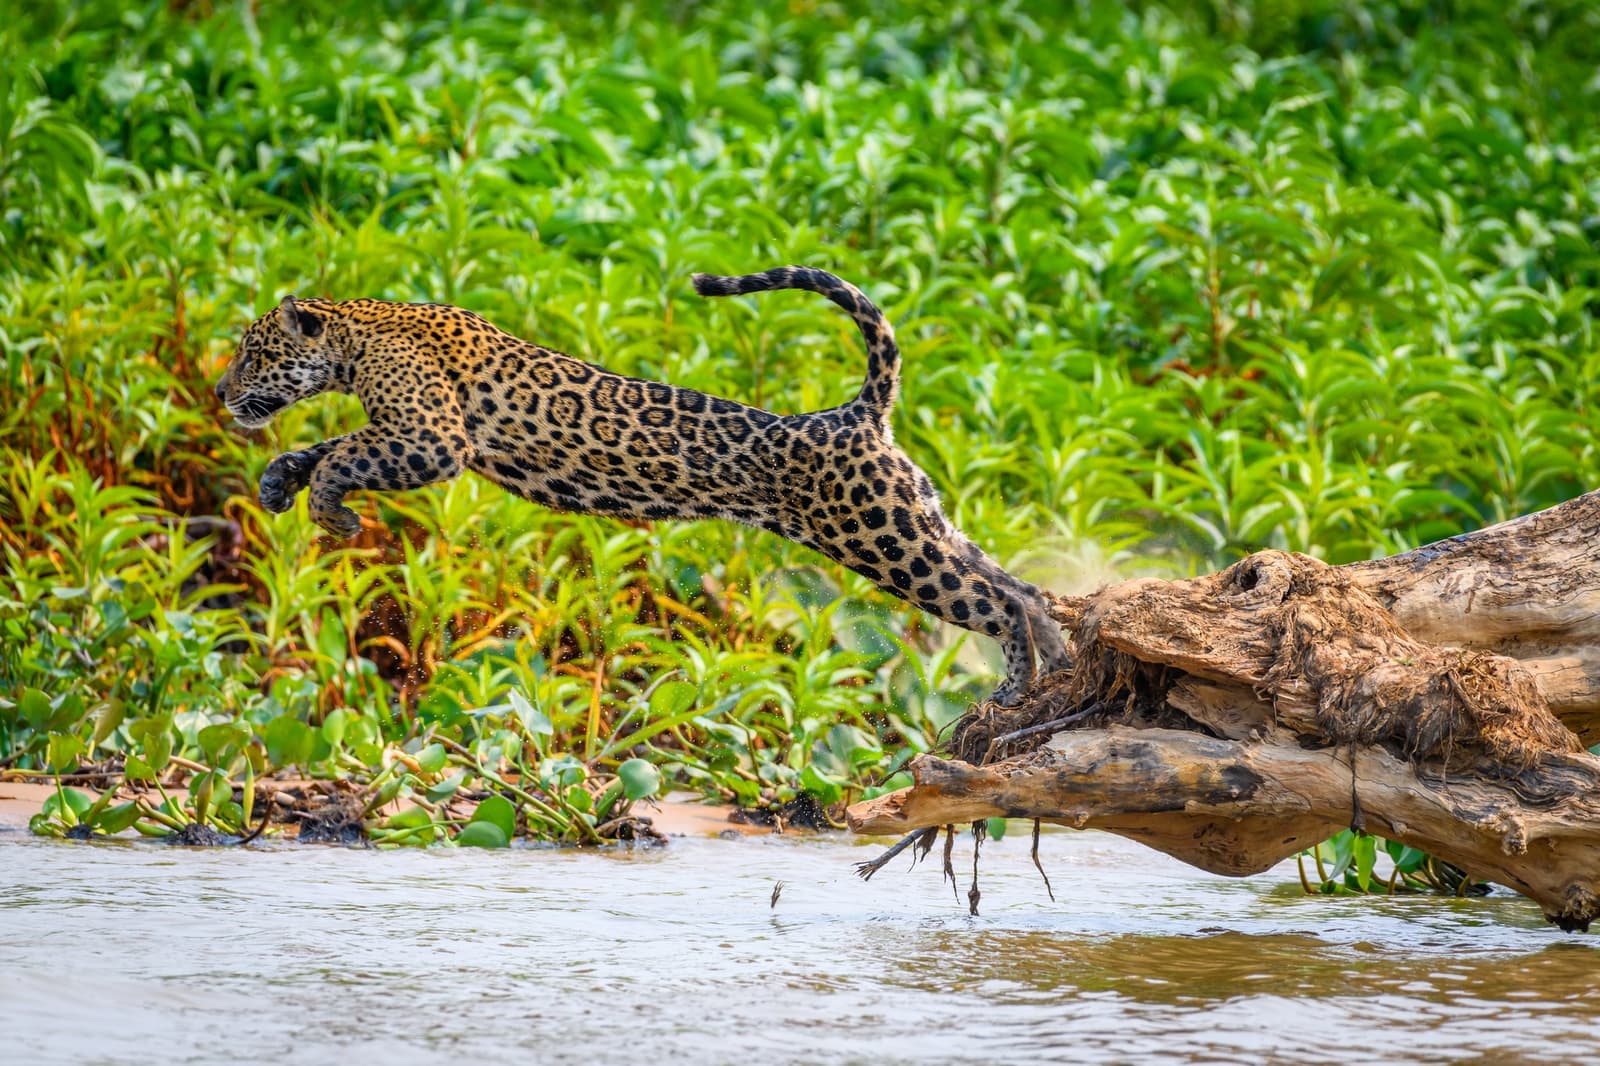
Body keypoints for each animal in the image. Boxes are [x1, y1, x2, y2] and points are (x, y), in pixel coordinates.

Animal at [215, 266, 1070, 704]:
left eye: (253, 355)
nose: (221, 393)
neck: (357, 335)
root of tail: (855, 412)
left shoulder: (432, 438)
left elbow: (346, 454)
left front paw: (332, 513)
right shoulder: (405, 432)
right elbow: (334, 442)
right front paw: (279, 481)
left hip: (884, 539)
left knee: (992, 599)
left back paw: (1013, 689)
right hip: (920, 521)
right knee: (1020, 587)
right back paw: (1056, 667)